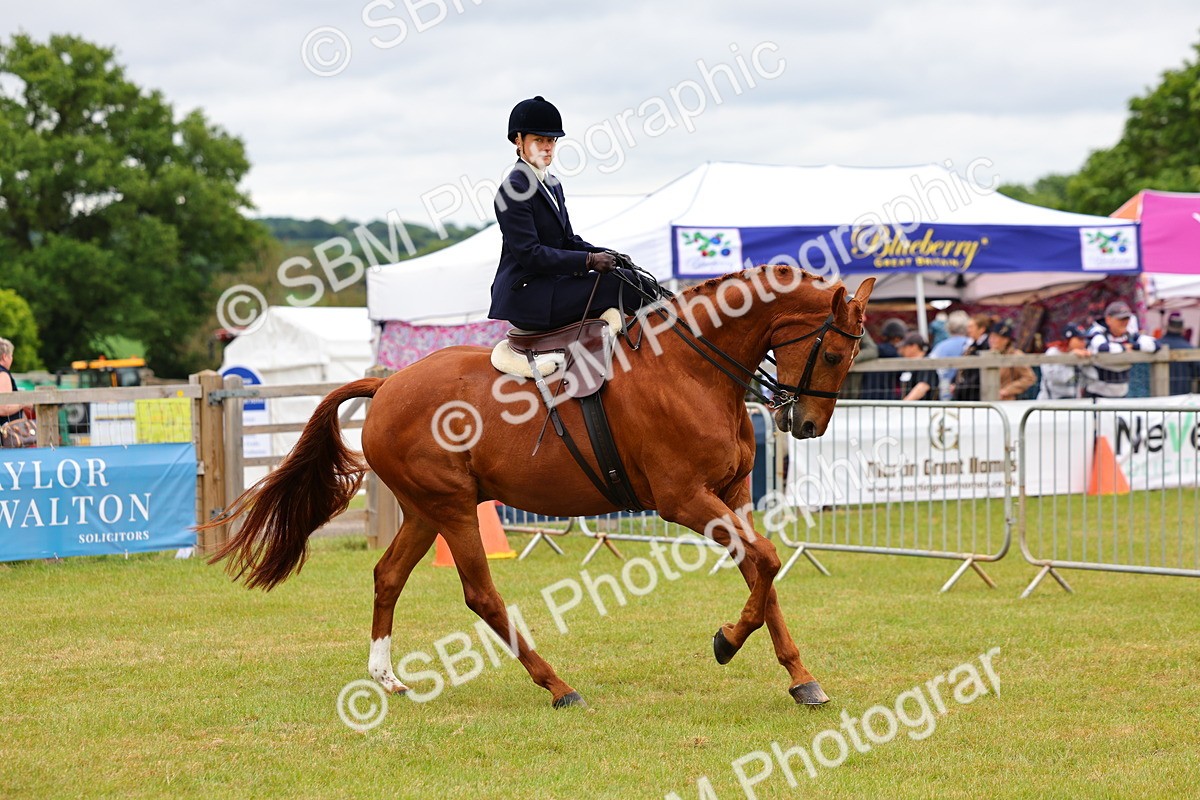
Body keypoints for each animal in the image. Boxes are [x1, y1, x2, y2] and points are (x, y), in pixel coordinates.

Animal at [206, 265, 875, 709]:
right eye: (835, 355)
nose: (807, 426)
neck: (693, 368)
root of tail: (387, 384)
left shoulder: (732, 498)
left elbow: (763, 571)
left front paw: (800, 678)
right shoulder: (686, 501)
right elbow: (767, 561)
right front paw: (727, 642)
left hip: (425, 509)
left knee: (388, 576)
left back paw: (387, 677)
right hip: (452, 508)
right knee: (481, 595)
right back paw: (557, 685)